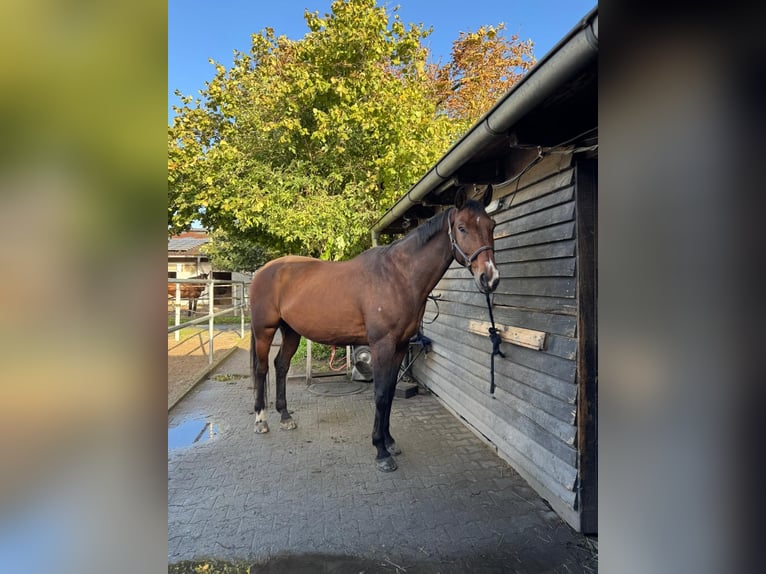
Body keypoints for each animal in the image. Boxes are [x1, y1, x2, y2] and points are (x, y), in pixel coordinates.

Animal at [248, 187, 499, 472]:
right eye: (461, 227)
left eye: (492, 225)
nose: (490, 278)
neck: (398, 277)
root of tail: (263, 271)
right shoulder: (382, 346)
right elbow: (379, 394)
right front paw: (381, 451)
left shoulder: (400, 346)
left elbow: (389, 393)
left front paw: (389, 441)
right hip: (265, 330)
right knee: (262, 369)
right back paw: (261, 421)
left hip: (291, 331)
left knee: (281, 366)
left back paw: (285, 416)